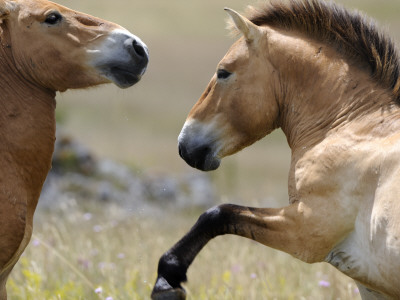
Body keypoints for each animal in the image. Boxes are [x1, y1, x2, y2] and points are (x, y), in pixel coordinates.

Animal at [152, 1, 400, 298]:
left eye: (223, 72)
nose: (185, 144)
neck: (355, 126)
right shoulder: (371, 286)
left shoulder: (303, 230)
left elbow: (217, 214)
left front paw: (167, 278)